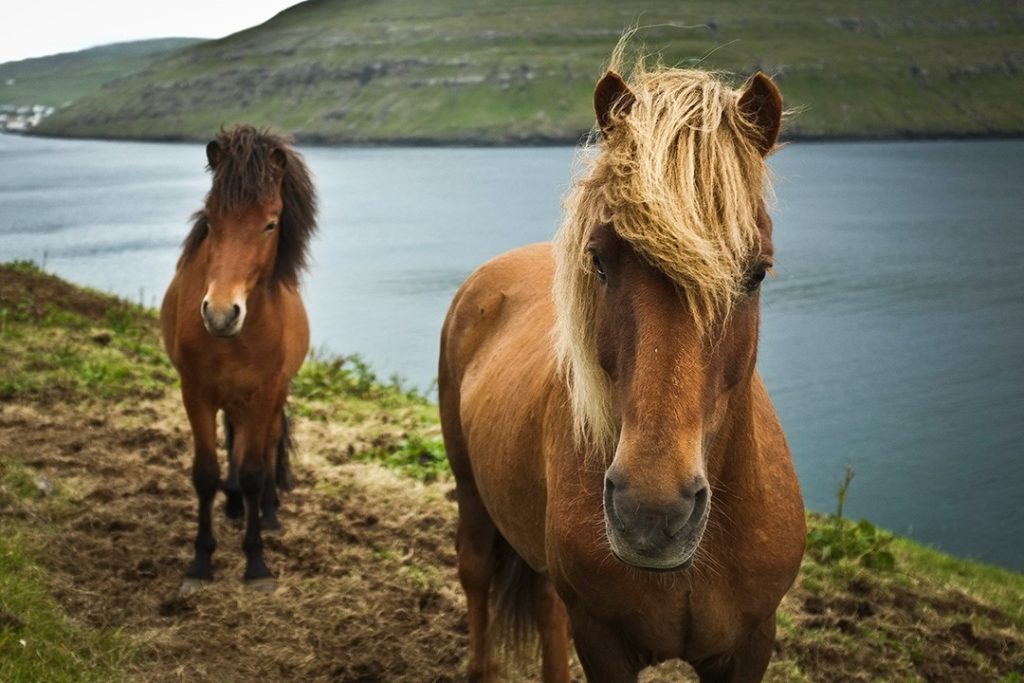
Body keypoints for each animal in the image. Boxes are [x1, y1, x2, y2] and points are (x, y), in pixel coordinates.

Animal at [160, 125, 315, 593]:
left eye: (270, 223)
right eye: (210, 219)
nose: (220, 313)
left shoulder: (263, 394)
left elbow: (253, 470)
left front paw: (256, 563)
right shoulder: (196, 392)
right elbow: (206, 473)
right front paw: (200, 562)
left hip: (272, 398)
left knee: (266, 448)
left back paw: (266, 514)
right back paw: (231, 508)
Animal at [436, 56, 802, 679]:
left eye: (755, 273)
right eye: (600, 260)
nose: (651, 514)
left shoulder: (752, 643)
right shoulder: (602, 639)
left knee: (545, 608)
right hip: (471, 495)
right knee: (477, 574)